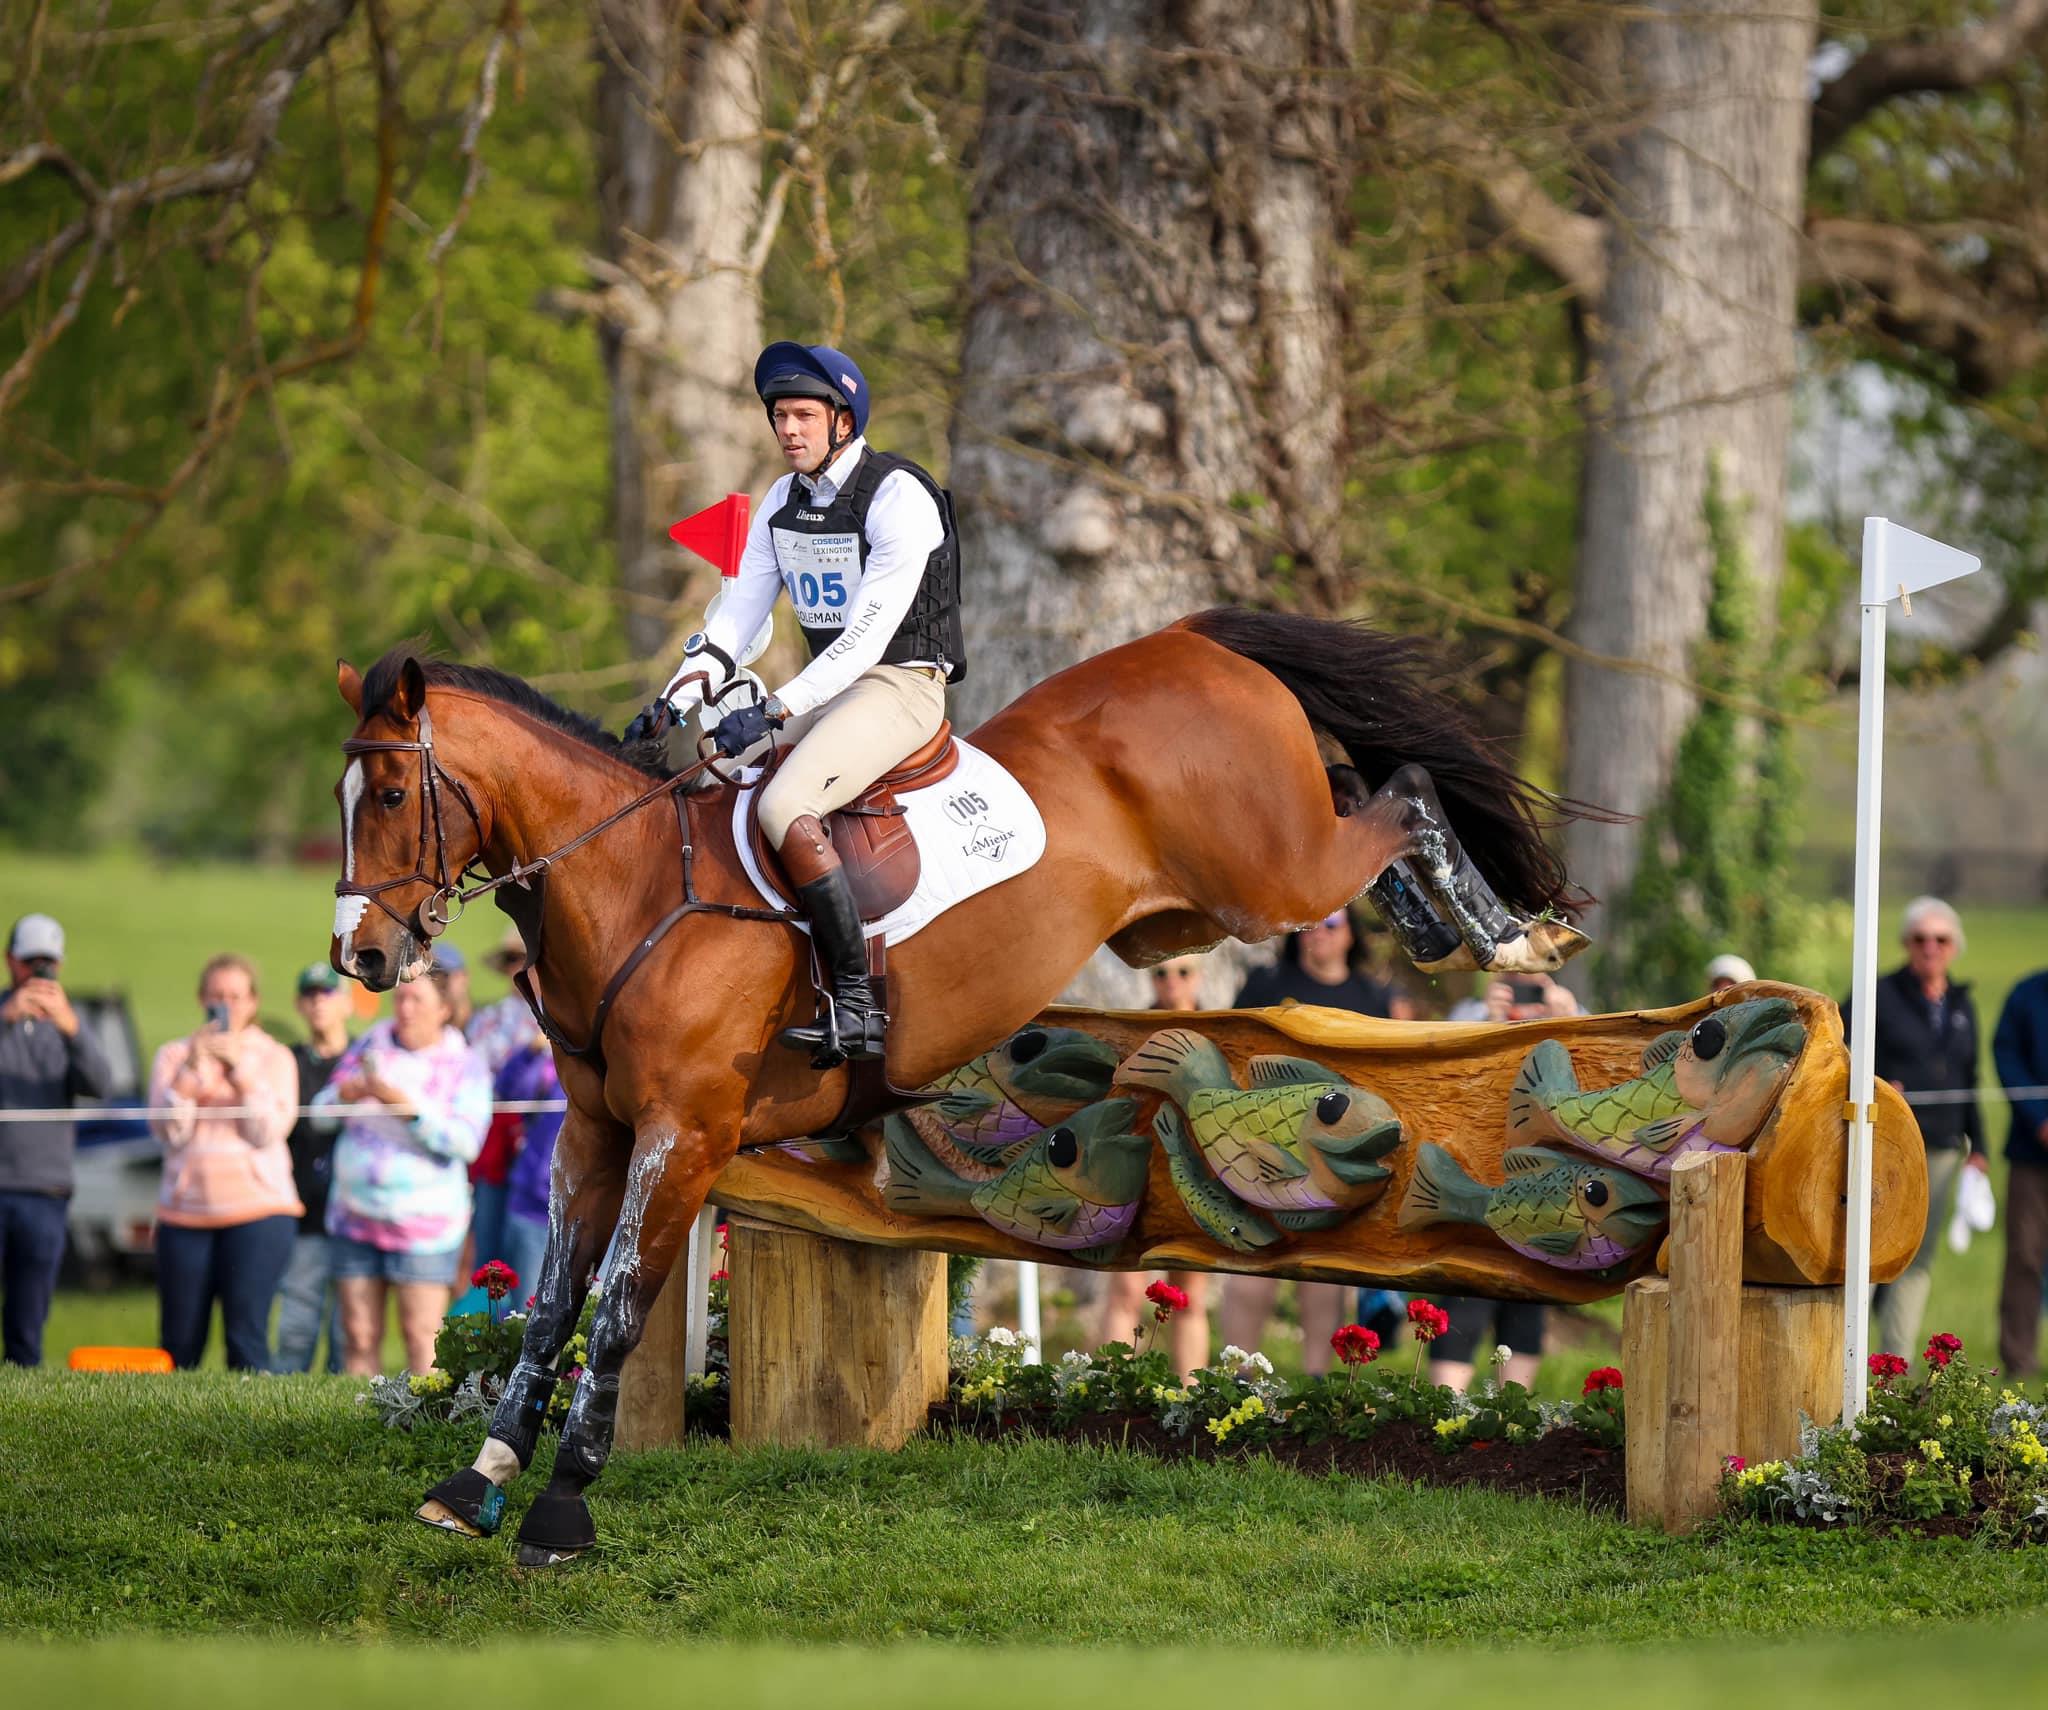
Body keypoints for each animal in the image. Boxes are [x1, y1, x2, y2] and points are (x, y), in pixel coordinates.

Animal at [331, 606, 1597, 1564]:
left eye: (389, 799)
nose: (362, 959)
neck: (634, 882)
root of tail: (1190, 639)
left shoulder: (681, 1135)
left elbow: (620, 1311)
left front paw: (559, 1506)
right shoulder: (594, 1134)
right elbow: (553, 1305)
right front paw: (476, 1482)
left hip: (1265, 874)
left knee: (1405, 792)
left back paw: (1506, 938)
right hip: (1197, 908)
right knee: (1373, 800)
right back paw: (1449, 932)